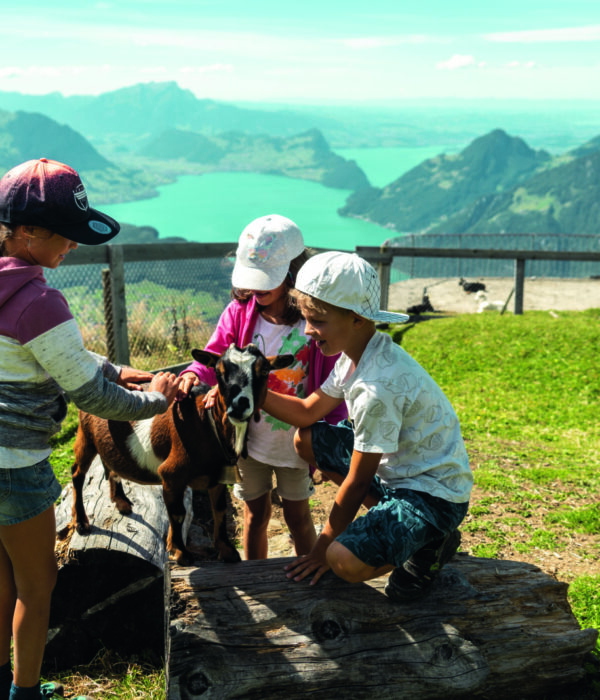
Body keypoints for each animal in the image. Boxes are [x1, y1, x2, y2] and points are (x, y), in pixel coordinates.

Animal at [69, 342, 292, 568]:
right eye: (219, 372)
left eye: (264, 371)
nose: (239, 405)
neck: (207, 424)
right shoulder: (171, 474)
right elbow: (177, 513)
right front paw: (181, 553)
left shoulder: (218, 475)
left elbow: (220, 510)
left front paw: (227, 551)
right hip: (85, 435)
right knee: (77, 474)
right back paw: (81, 522)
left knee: (109, 464)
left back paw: (121, 501)